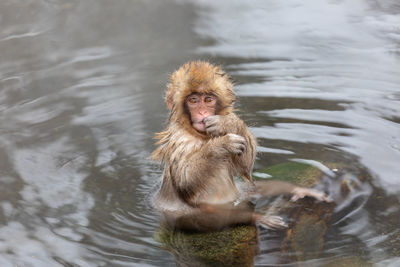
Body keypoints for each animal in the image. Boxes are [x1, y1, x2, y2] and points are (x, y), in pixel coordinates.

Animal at [152, 61, 330, 232]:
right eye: (193, 100)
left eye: (208, 100)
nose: (202, 113)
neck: (198, 135)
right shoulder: (180, 140)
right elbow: (185, 180)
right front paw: (222, 145)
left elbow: (246, 167)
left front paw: (228, 123)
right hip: (187, 215)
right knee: (212, 216)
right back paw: (256, 217)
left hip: (241, 193)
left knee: (256, 188)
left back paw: (297, 189)